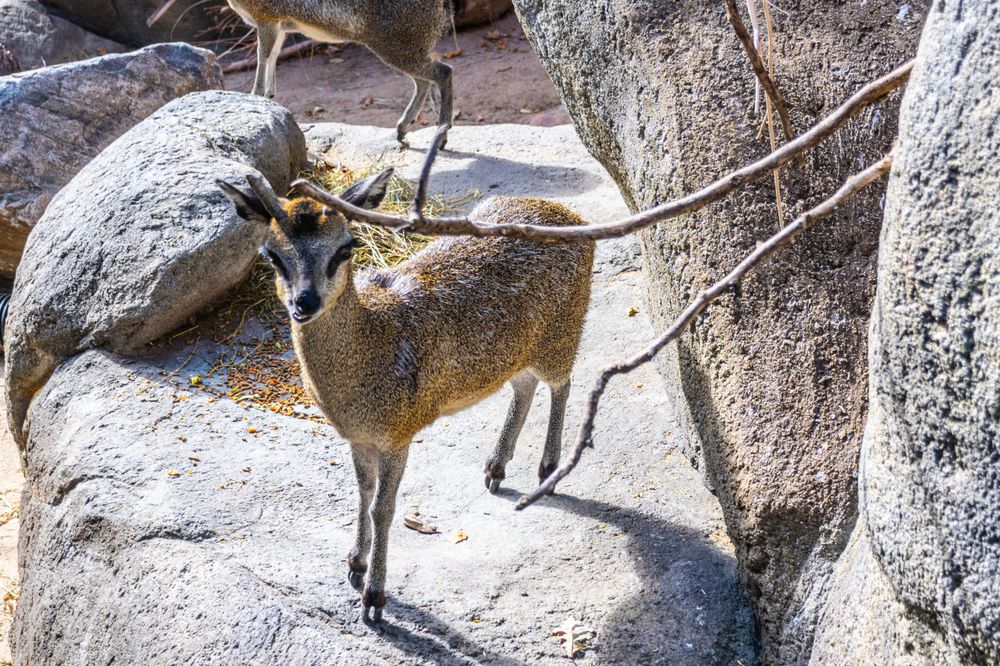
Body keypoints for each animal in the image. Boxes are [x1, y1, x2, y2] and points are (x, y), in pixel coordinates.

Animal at [217, 169, 594, 623]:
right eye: (271, 254)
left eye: (345, 248)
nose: (304, 302)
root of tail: (573, 217)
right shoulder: (359, 437)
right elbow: (363, 492)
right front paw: (354, 563)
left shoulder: (399, 432)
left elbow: (384, 507)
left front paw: (374, 597)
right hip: (519, 351)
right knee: (524, 385)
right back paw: (496, 468)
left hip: (563, 331)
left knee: (563, 382)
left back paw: (548, 471)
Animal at [225, 0, 459, 143]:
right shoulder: (280, 26)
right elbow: (273, 57)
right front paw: (269, 97)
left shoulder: (267, 19)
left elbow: (262, 57)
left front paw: (254, 95)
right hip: (406, 49)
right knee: (425, 81)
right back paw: (402, 127)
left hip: (397, 48)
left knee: (443, 72)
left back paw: (441, 134)